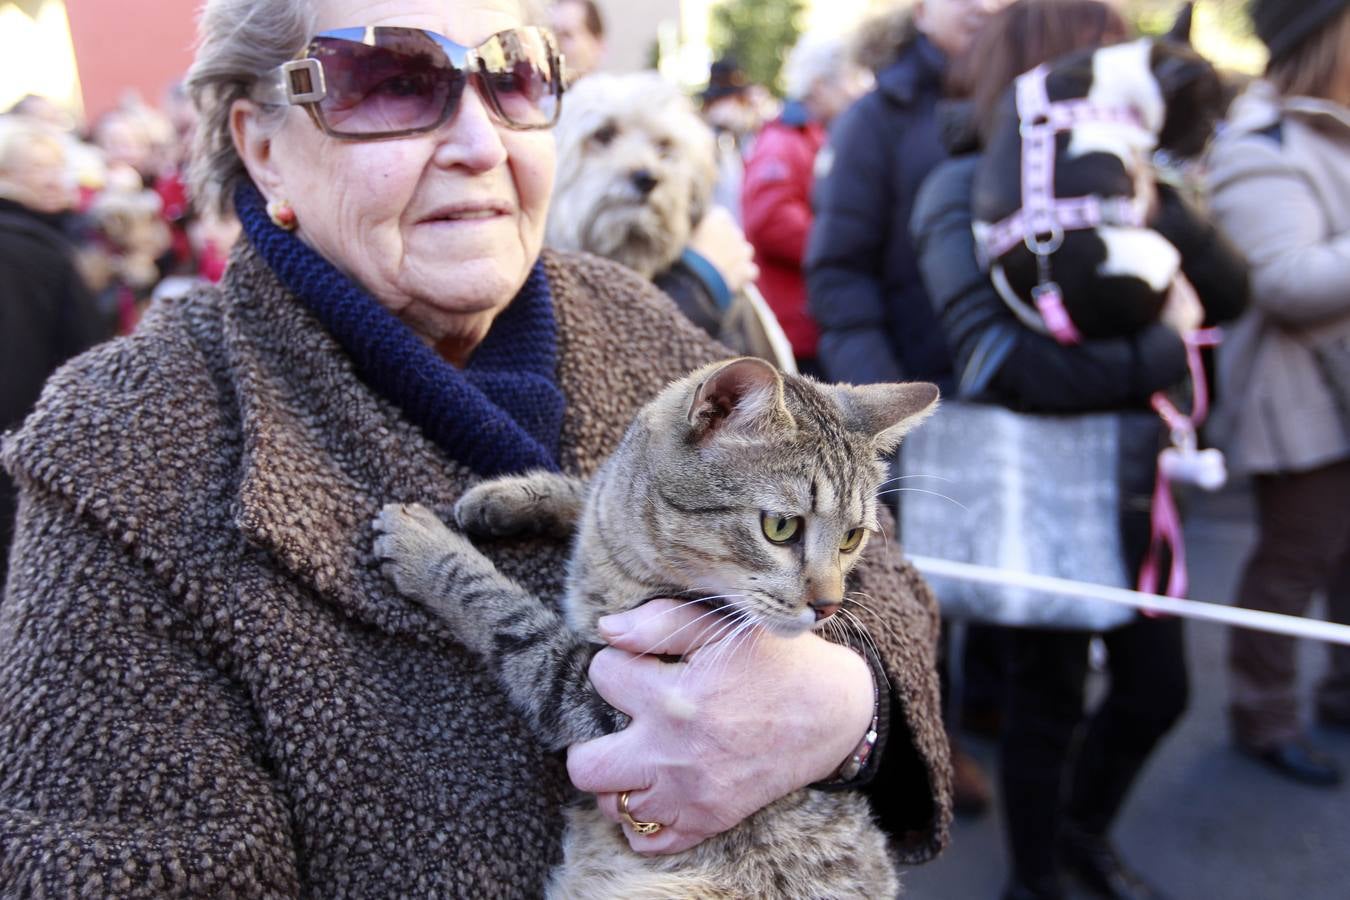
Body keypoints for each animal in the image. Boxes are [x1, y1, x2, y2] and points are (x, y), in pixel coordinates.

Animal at [369, 356, 939, 895]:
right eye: (781, 527)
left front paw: (426, 546)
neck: (621, 555)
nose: (828, 606)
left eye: (851, 538)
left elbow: (506, 614)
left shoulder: (595, 697)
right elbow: (592, 488)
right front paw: (504, 498)